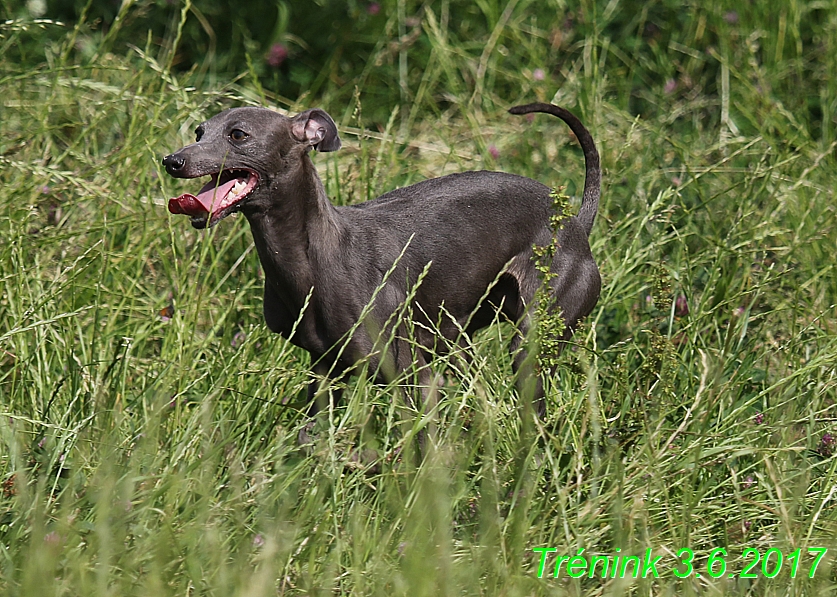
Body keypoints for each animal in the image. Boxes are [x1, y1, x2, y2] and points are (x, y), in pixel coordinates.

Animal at [160, 101, 596, 414]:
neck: (317, 258)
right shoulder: (324, 372)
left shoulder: (410, 377)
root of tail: (575, 221)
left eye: (238, 134)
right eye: (199, 132)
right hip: (456, 339)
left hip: (534, 338)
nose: (172, 160)